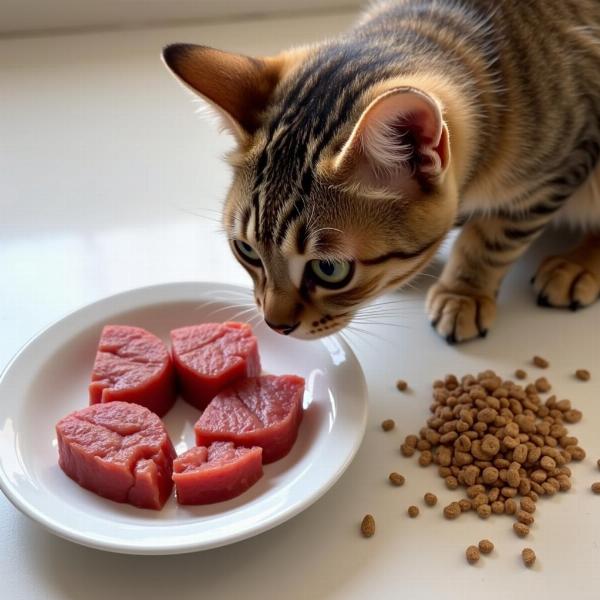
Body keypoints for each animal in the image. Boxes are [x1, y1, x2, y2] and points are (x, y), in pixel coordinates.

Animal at [162, 0, 600, 342]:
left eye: (329, 269)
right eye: (247, 250)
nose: (274, 324)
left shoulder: (563, 165)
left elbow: (493, 239)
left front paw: (464, 292)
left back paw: (576, 265)